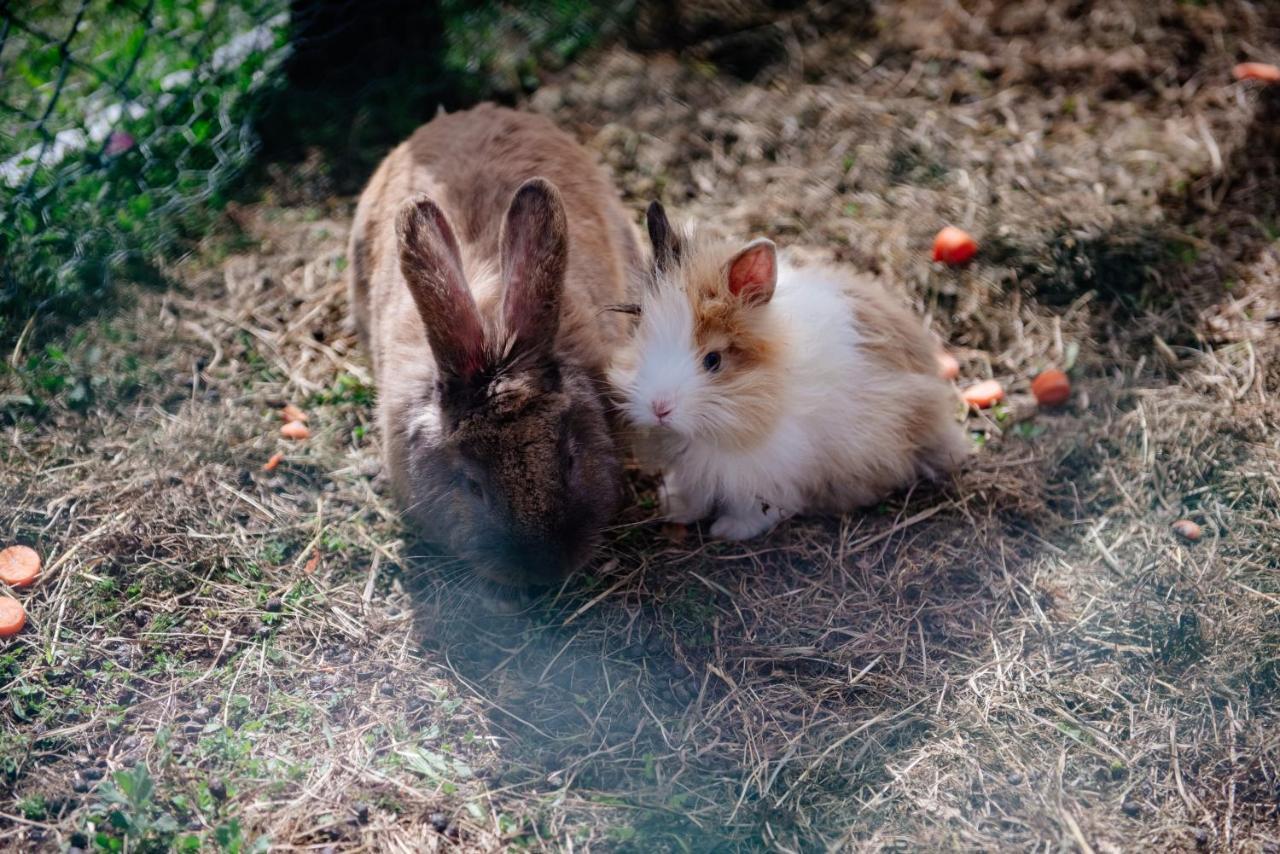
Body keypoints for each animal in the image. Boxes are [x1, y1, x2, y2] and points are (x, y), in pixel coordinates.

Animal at [611, 203, 967, 540]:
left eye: (713, 360)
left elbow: (758, 505)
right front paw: (674, 507)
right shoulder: (692, 466)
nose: (659, 408)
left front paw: (731, 529)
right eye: (643, 339)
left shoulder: (771, 470)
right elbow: (693, 490)